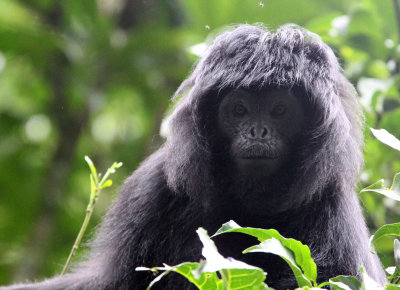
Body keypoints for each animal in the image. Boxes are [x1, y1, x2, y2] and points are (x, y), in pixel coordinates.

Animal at [0, 23, 388, 288]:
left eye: (279, 111)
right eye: (239, 110)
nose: (257, 132)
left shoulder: (333, 210)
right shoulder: (154, 188)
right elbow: (110, 281)